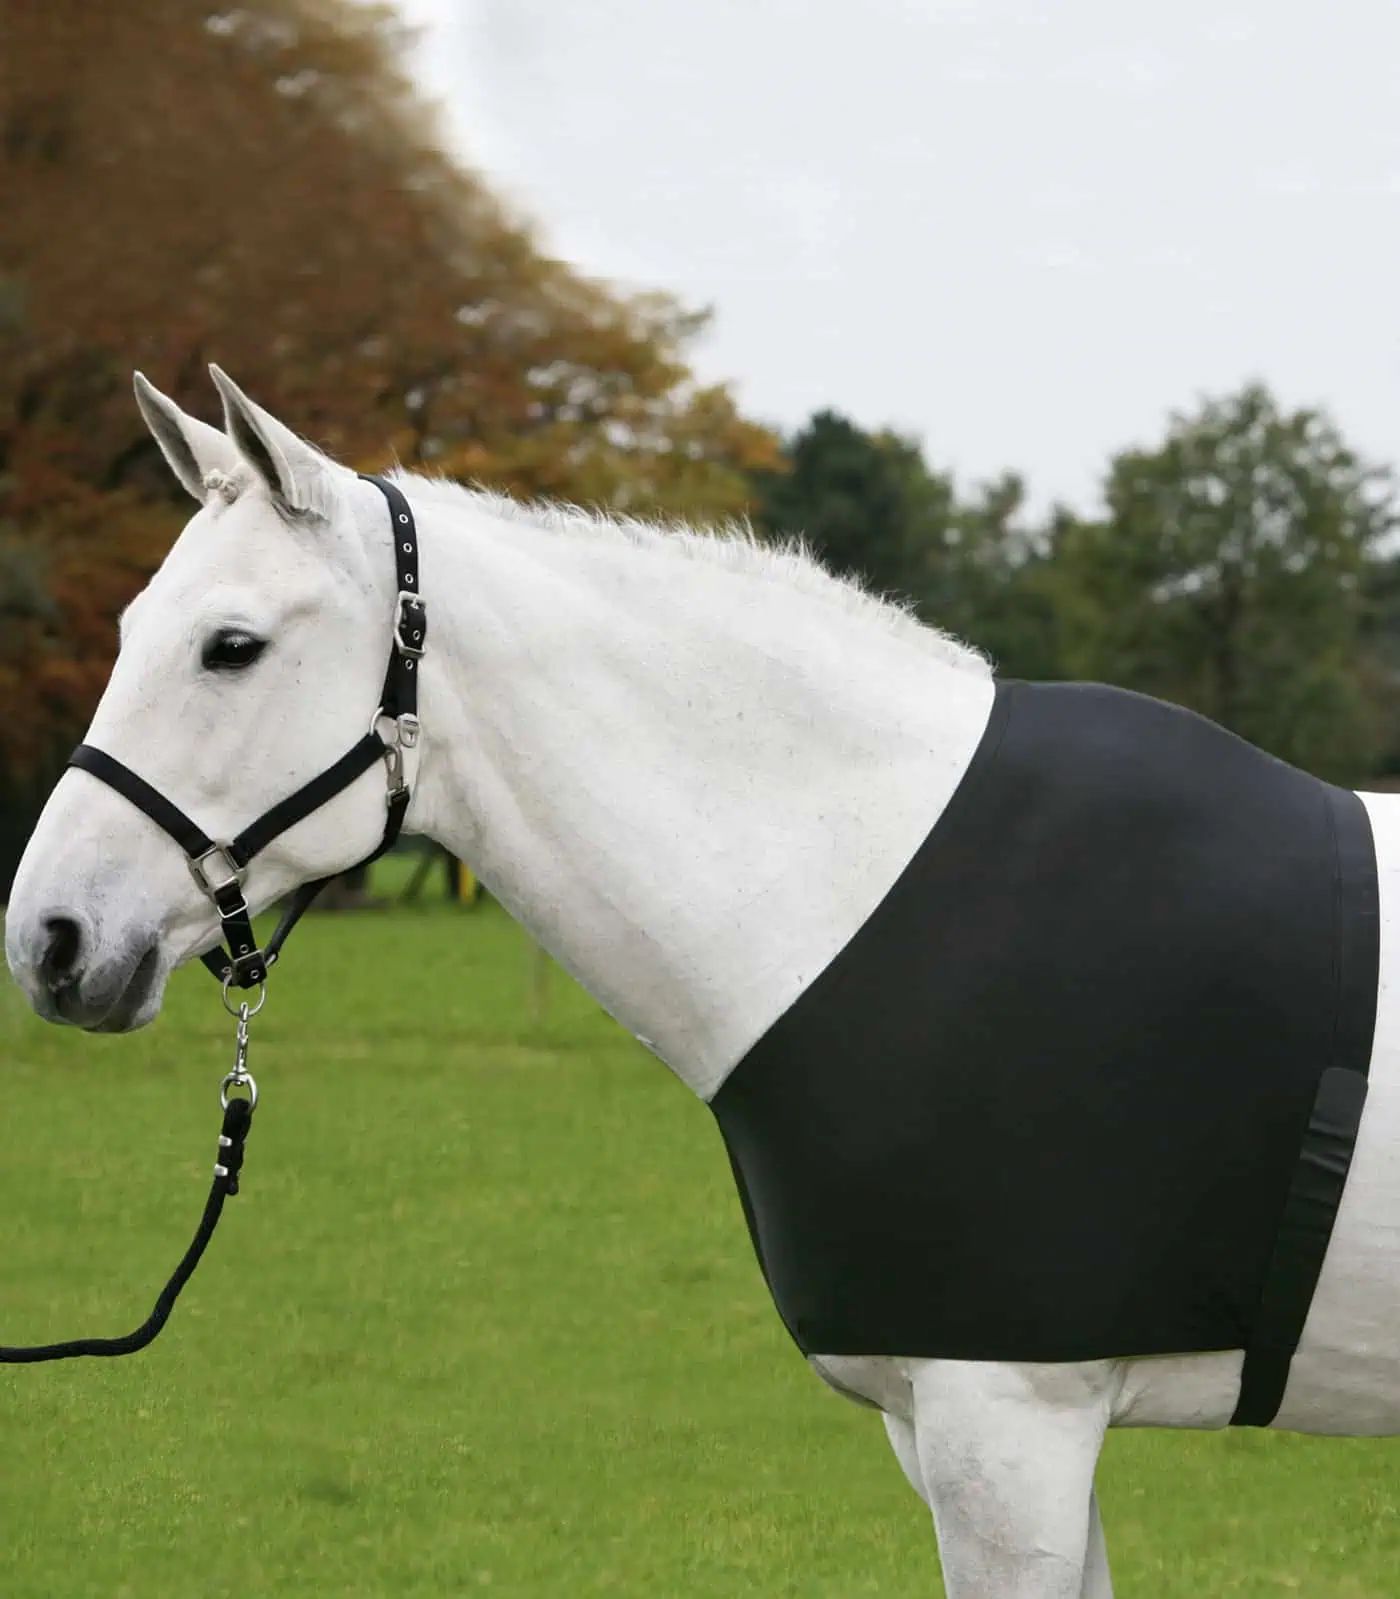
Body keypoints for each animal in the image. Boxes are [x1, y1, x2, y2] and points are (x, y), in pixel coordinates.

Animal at [7, 368, 1400, 1599]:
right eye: (128, 631)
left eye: (230, 647)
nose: (49, 939)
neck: (861, 886)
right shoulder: (969, 1428)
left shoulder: (1011, 1425)